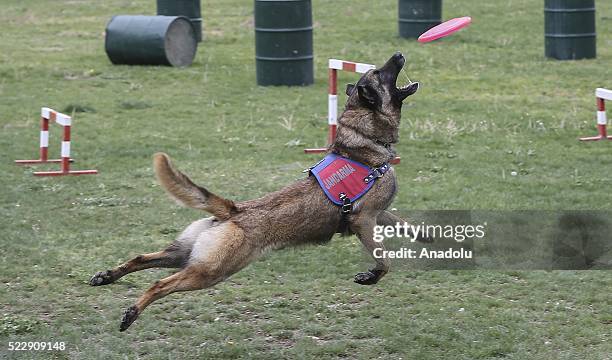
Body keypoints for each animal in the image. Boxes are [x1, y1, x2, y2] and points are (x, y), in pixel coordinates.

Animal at [88, 52, 418, 330]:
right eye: (380, 72)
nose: (399, 53)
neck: (363, 144)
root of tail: (233, 209)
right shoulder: (363, 219)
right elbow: (384, 260)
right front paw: (370, 276)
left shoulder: (381, 214)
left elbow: (412, 228)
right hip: (210, 271)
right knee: (159, 285)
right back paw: (131, 312)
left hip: (185, 254)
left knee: (142, 258)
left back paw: (106, 276)